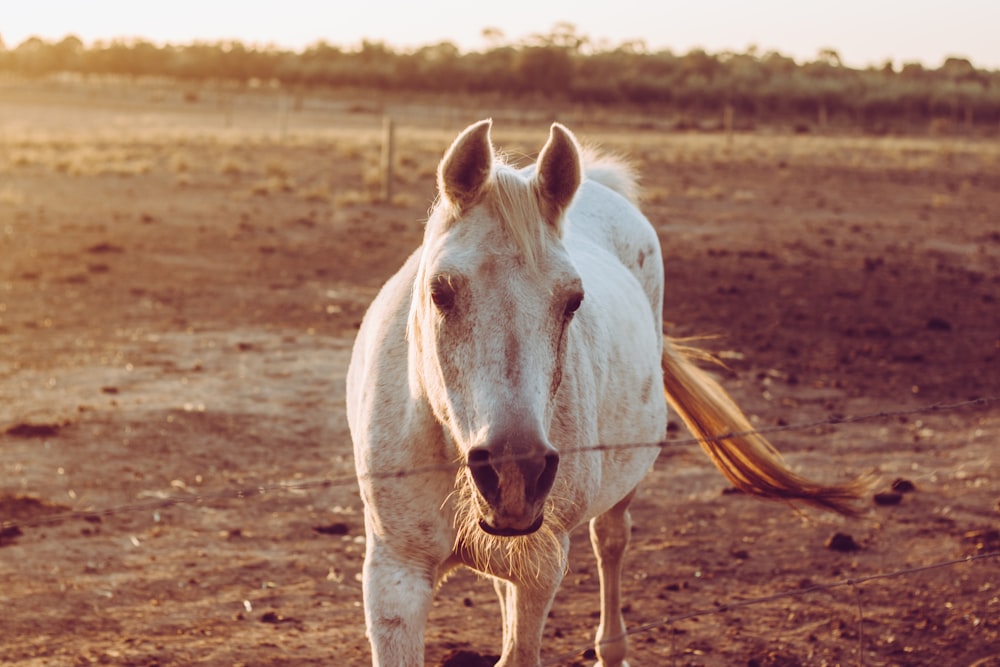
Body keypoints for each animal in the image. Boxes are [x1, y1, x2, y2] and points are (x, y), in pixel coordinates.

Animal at [346, 121, 860, 667]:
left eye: (573, 301)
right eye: (440, 292)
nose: (515, 473)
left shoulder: (541, 566)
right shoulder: (395, 573)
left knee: (610, 542)